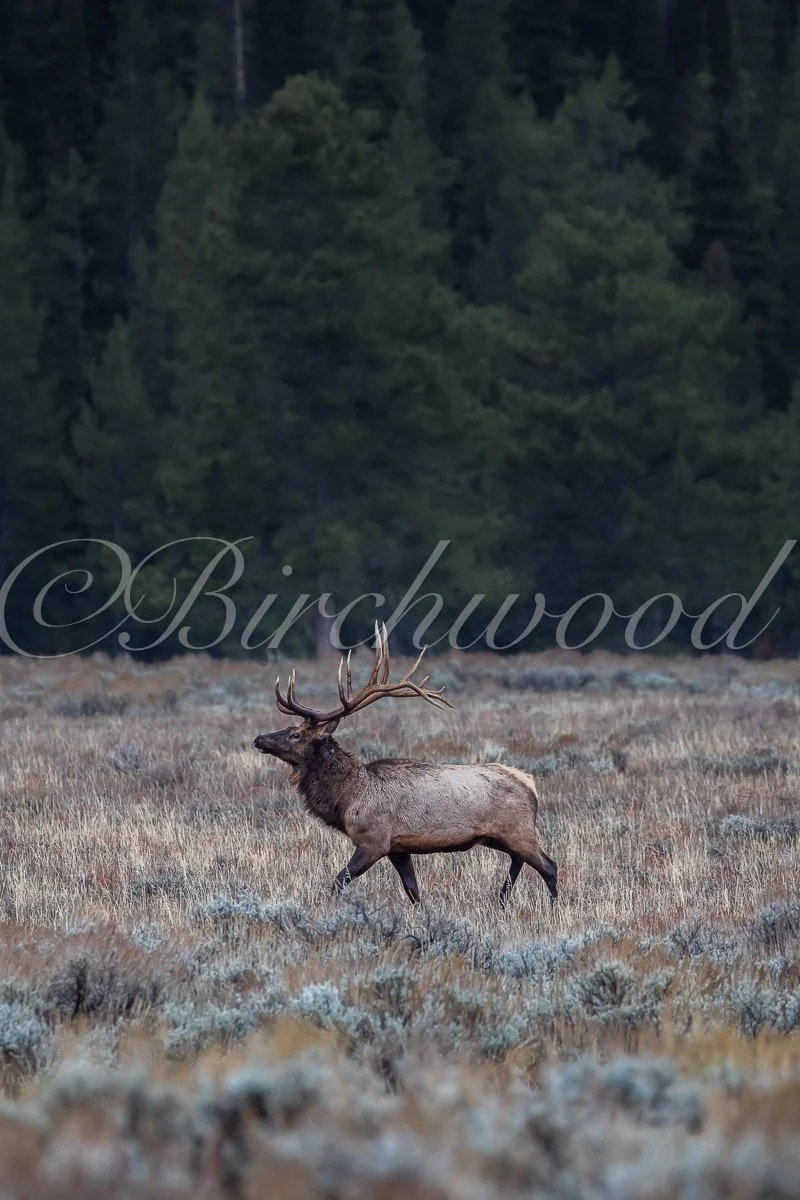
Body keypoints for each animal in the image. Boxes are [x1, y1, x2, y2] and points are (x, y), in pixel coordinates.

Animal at [253, 624, 557, 908]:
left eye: (295, 734)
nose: (258, 739)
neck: (348, 797)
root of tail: (530, 784)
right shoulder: (398, 848)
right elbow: (412, 890)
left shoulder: (374, 840)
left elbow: (338, 881)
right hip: (500, 836)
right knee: (519, 861)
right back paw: (502, 898)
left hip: (518, 829)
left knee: (549, 865)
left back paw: (553, 906)